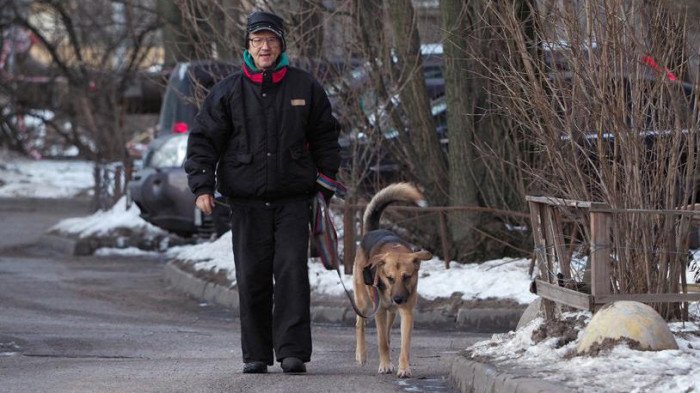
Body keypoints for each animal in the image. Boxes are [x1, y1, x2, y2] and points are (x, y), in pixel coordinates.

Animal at [356, 182, 432, 378]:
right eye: (389, 278)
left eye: (407, 277)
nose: (398, 299)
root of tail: (373, 230)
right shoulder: (379, 311)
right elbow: (381, 341)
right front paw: (384, 365)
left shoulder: (407, 312)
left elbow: (404, 344)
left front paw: (404, 368)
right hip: (364, 301)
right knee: (360, 323)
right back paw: (361, 355)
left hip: (392, 312)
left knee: (388, 330)